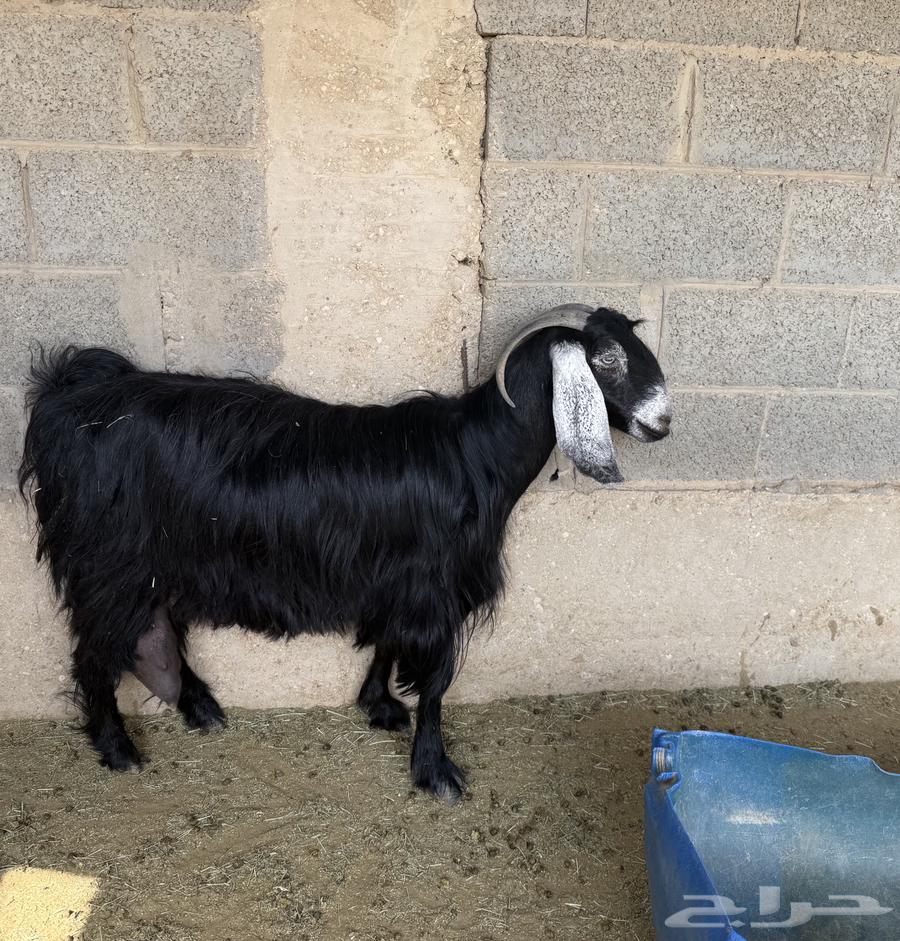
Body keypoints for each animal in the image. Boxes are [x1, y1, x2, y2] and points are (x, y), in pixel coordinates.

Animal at [19, 305, 672, 802]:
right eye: (606, 359)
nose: (664, 422)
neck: (479, 455)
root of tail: (67, 395)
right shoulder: (436, 591)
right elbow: (436, 683)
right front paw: (436, 772)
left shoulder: (398, 581)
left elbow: (385, 640)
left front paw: (378, 705)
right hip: (107, 560)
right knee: (93, 652)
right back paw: (118, 747)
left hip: (148, 563)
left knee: (151, 630)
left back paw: (198, 705)